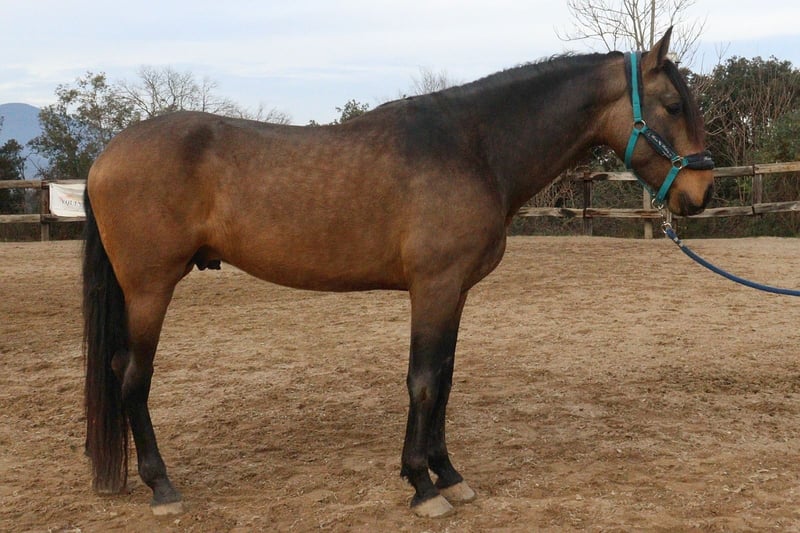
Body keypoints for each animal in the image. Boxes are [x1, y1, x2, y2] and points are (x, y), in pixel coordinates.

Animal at [82, 28, 714, 518]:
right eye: (672, 105)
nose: (701, 193)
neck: (472, 145)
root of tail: (104, 156)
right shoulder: (432, 288)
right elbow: (425, 381)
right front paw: (421, 486)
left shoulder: (455, 292)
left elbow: (446, 379)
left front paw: (449, 476)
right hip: (150, 288)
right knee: (133, 376)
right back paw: (163, 488)